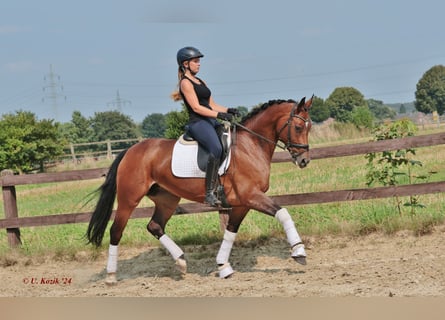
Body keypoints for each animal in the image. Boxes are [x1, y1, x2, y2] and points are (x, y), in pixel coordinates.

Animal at [86, 95, 312, 284]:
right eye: (298, 127)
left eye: (308, 128)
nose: (304, 160)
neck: (251, 146)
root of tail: (130, 150)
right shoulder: (251, 196)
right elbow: (283, 213)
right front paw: (299, 252)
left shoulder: (242, 203)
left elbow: (231, 231)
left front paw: (223, 266)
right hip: (129, 198)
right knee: (116, 231)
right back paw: (111, 276)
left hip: (167, 199)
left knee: (155, 226)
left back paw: (181, 261)